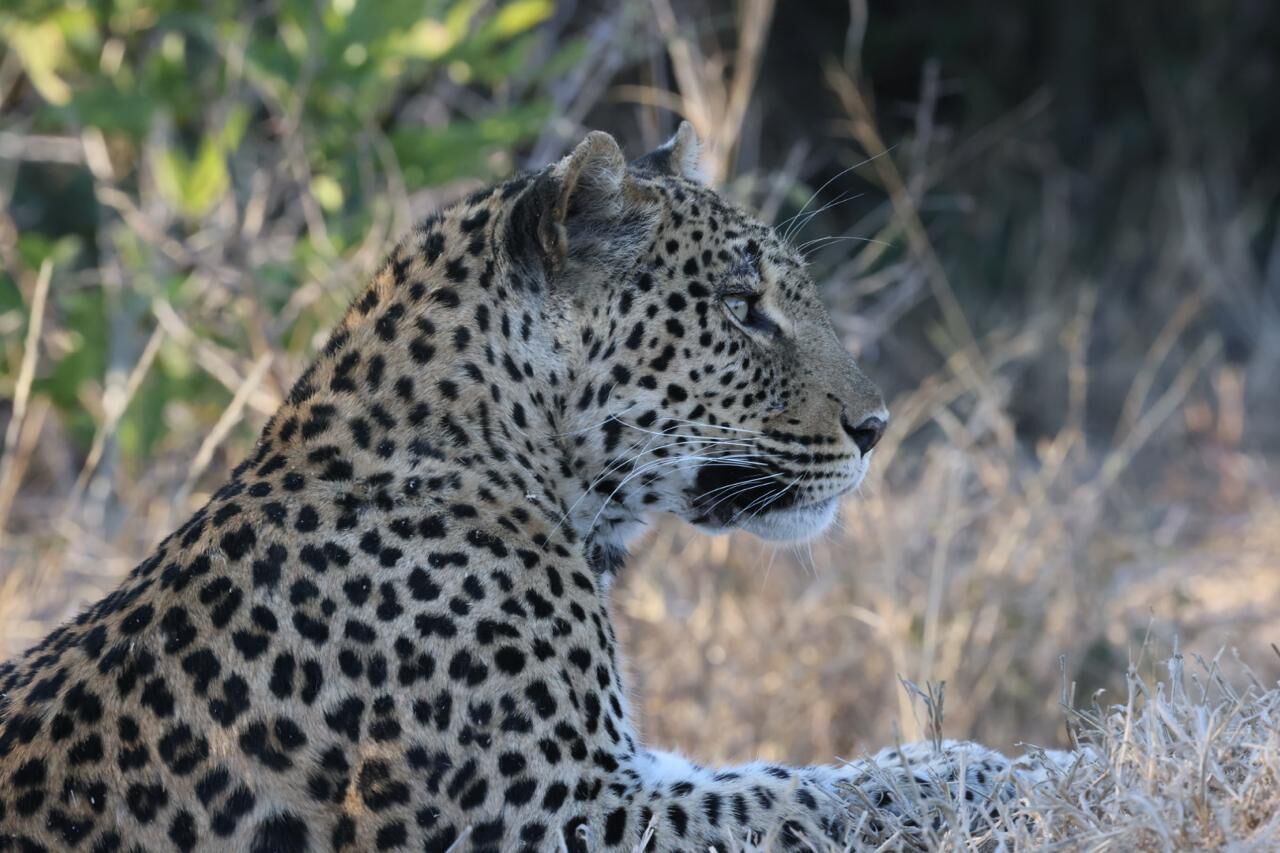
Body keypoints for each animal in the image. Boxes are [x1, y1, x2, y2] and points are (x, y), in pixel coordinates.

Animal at [0, 125, 1054, 853]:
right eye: (739, 307)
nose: (877, 427)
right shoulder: (562, 814)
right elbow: (802, 792)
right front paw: (1017, 776)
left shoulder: (622, 768)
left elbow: (819, 767)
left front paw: (1013, 756)